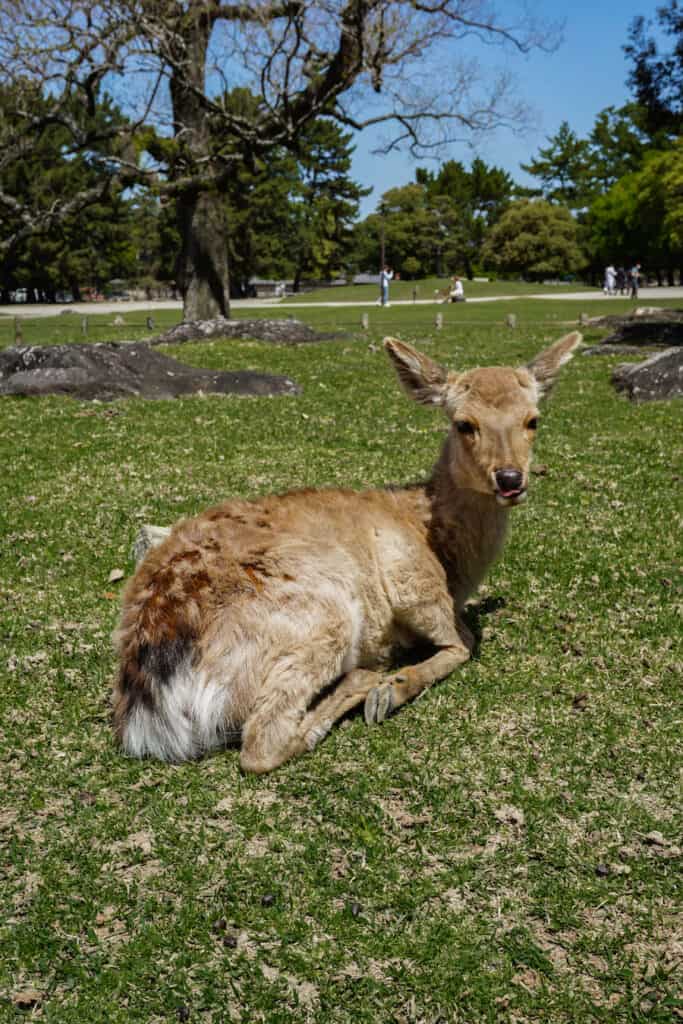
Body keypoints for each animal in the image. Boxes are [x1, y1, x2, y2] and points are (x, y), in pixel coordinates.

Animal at [112, 331, 581, 770]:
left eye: (533, 420)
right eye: (464, 423)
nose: (510, 478)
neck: (449, 558)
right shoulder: (417, 587)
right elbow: (462, 643)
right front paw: (393, 689)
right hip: (325, 616)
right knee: (261, 744)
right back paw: (366, 681)